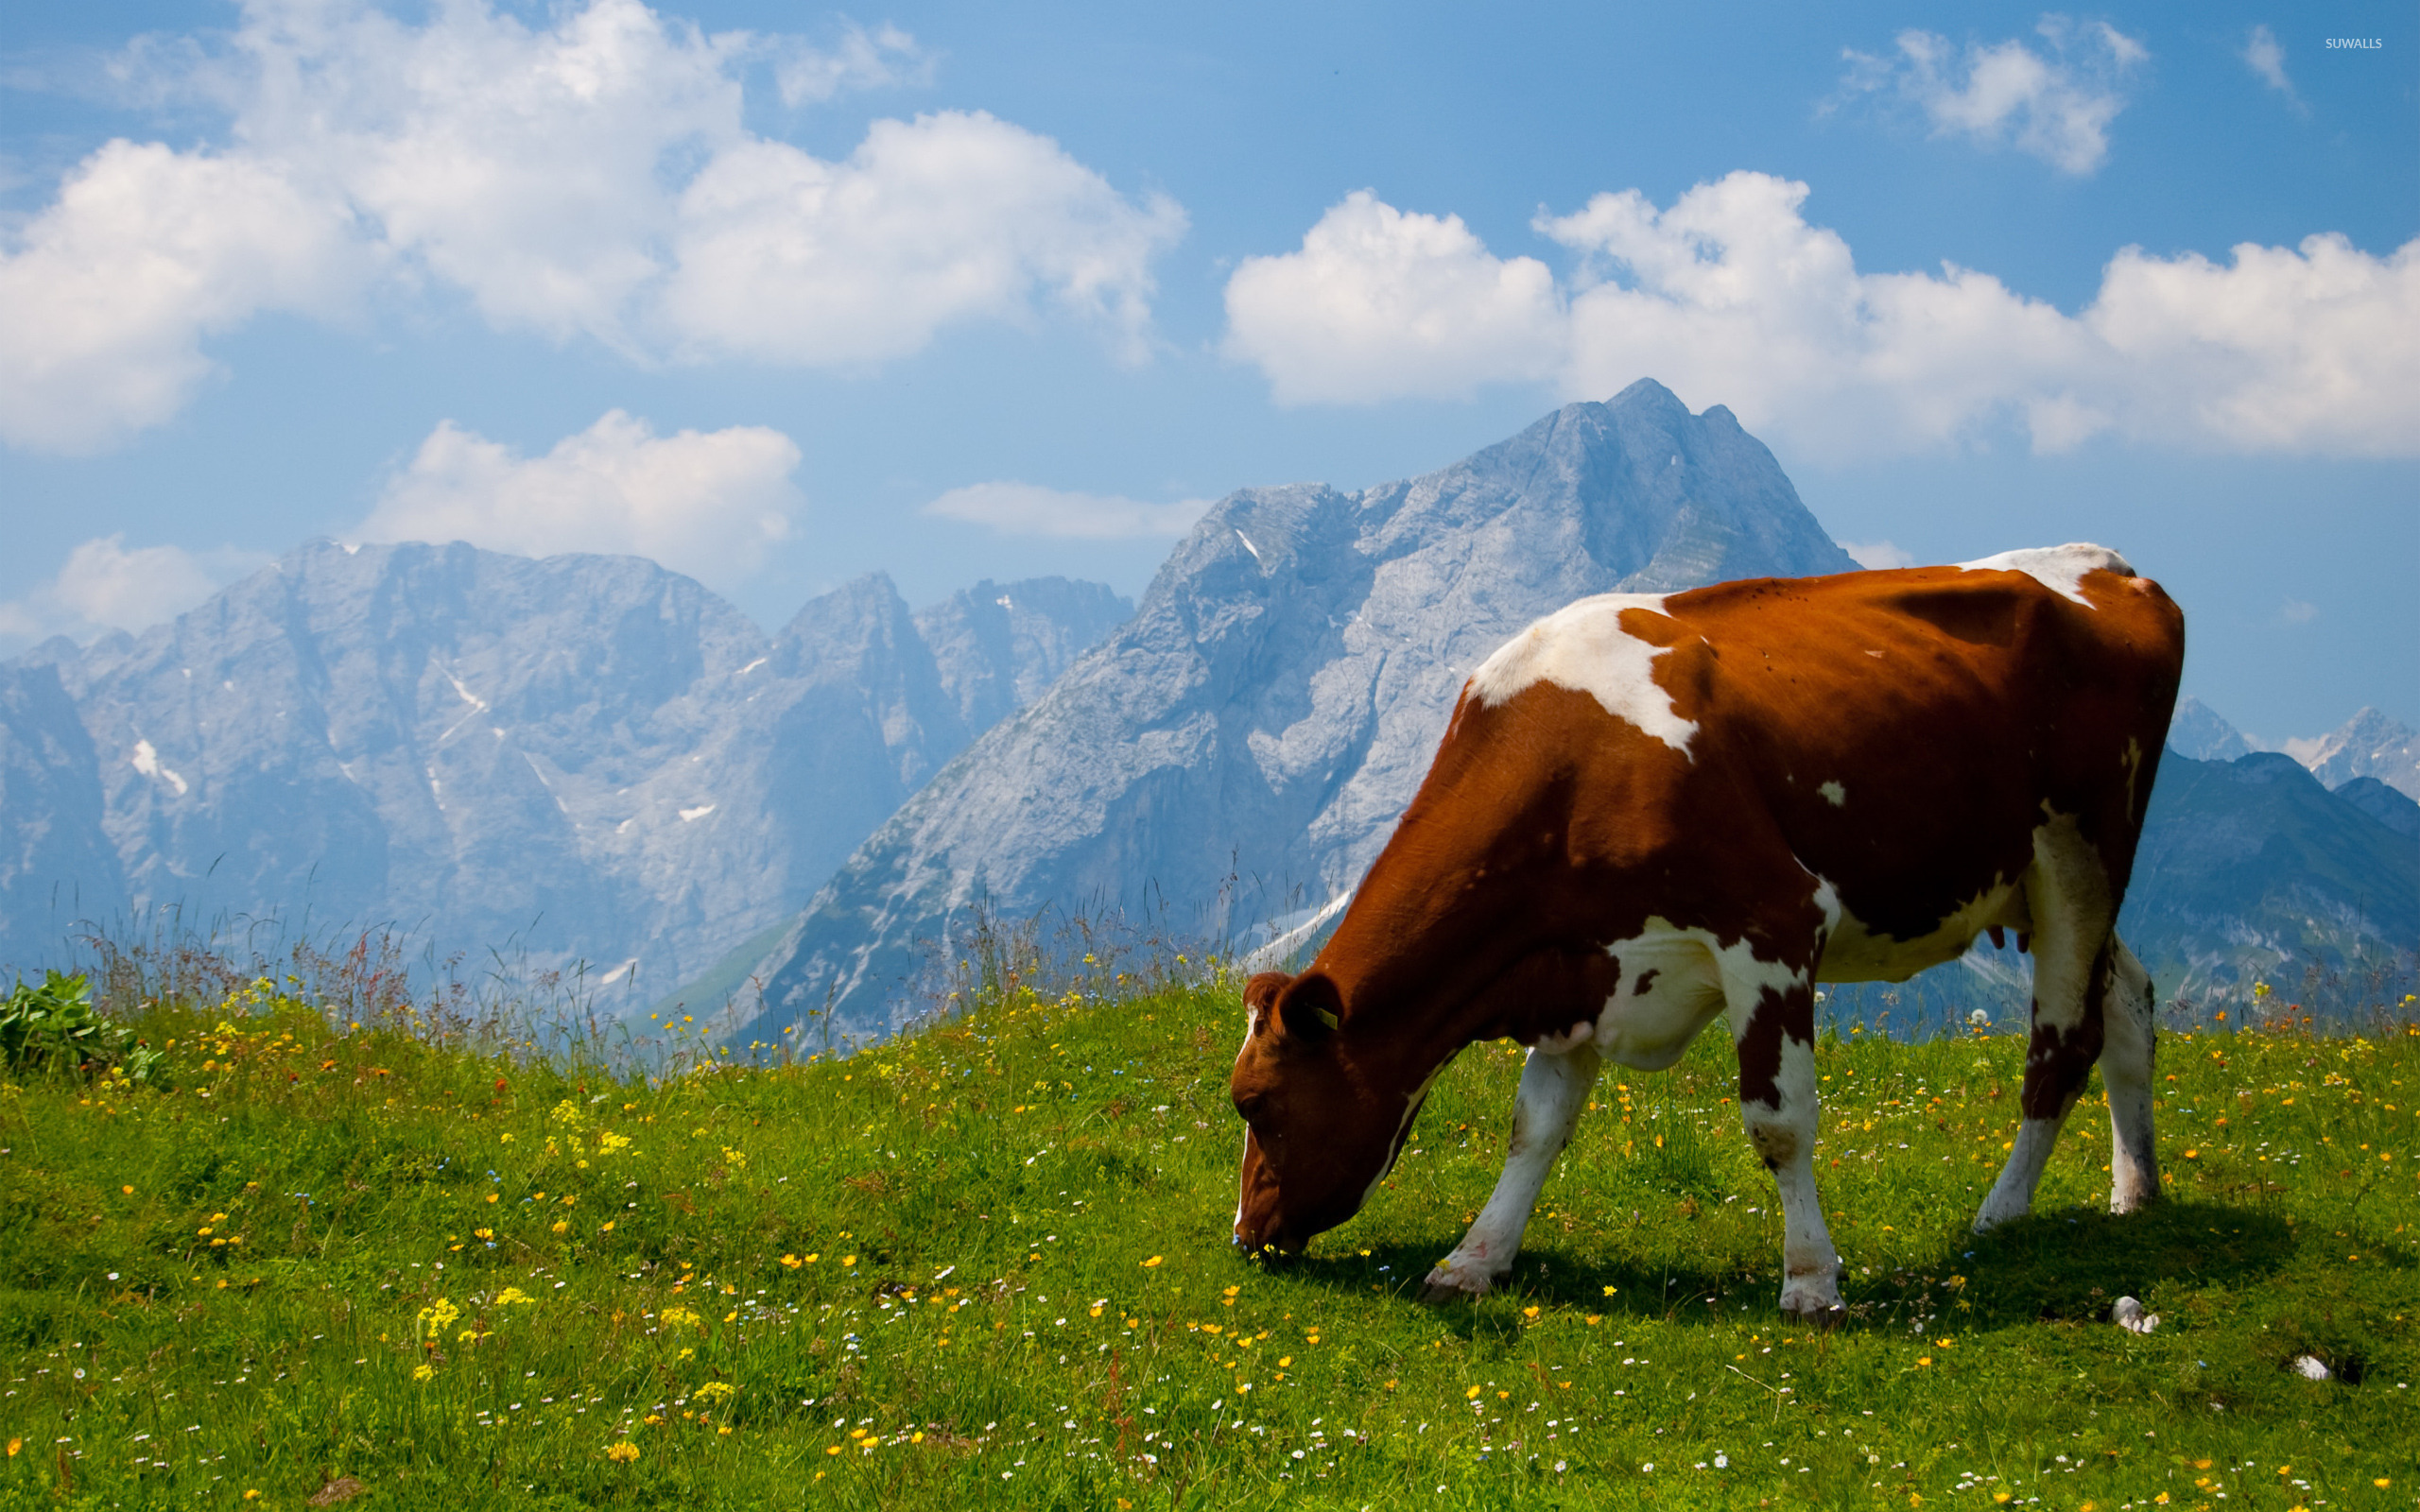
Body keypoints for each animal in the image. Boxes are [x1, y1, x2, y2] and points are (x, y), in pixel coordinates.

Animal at [1228, 544, 2185, 1316]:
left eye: (1254, 1103)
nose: (1246, 1235)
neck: (1570, 762)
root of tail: (2112, 565)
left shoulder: (1773, 924)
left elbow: (1779, 1119)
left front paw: (1812, 1282)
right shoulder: (1578, 962)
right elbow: (1535, 1125)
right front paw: (1474, 1260)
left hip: (2083, 858)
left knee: (2061, 1045)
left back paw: (2002, 1212)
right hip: (2032, 888)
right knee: (2129, 1004)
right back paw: (2135, 1190)